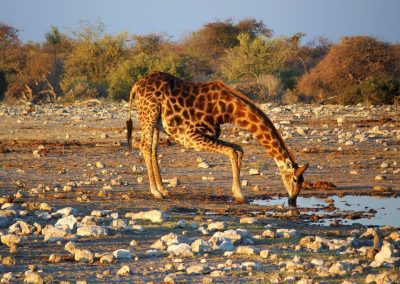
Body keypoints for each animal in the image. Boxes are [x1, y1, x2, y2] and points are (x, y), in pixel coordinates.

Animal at [126, 71, 308, 204]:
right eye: (295, 179)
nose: (292, 201)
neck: (227, 110)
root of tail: (136, 85)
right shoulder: (191, 138)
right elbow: (232, 152)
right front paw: (240, 195)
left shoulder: (211, 135)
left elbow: (239, 150)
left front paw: (236, 192)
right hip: (149, 114)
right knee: (144, 146)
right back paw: (155, 192)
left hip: (156, 122)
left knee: (153, 149)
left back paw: (163, 189)